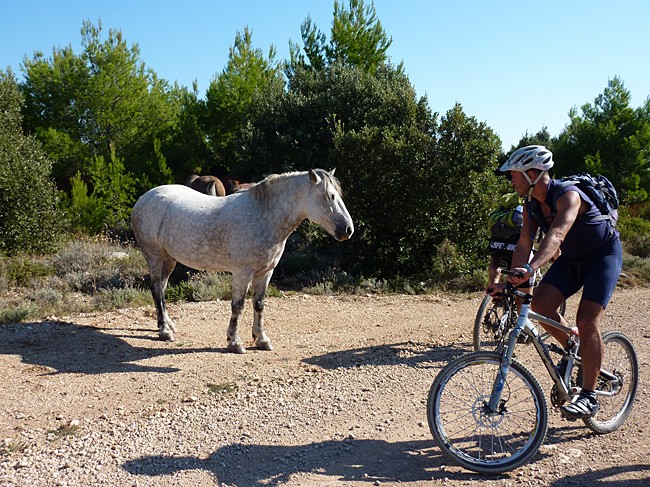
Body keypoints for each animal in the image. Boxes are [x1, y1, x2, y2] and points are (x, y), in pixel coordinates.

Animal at [131, 170, 352, 352]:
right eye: (329, 196)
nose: (348, 229)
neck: (263, 216)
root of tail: (145, 198)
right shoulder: (242, 273)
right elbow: (238, 306)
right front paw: (234, 342)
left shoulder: (265, 273)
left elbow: (259, 304)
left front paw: (262, 339)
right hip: (154, 255)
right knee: (156, 288)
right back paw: (164, 330)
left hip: (169, 258)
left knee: (162, 288)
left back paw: (168, 324)